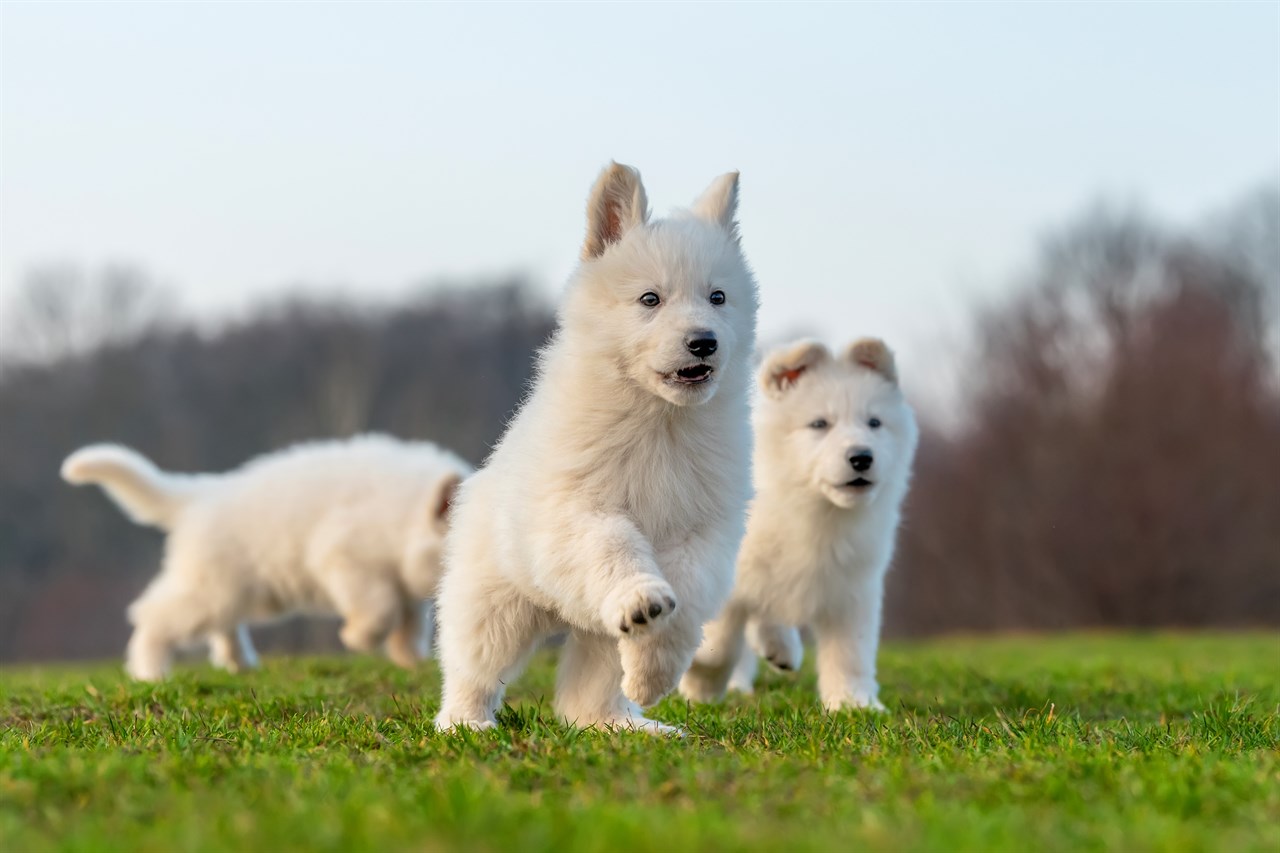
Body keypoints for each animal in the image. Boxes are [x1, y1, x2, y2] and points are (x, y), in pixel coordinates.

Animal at [60, 432, 471, 676]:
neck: (405, 512)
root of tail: (200, 496)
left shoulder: (405, 584)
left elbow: (408, 622)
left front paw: (409, 658)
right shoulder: (345, 559)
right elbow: (380, 609)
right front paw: (359, 638)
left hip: (234, 592)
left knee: (222, 626)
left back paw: (239, 662)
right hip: (211, 593)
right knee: (151, 616)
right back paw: (150, 672)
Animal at [437, 161, 757, 732]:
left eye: (717, 297)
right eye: (650, 299)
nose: (704, 342)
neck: (659, 419)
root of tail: (560, 613)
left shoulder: (703, 531)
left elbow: (688, 594)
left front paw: (652, 671)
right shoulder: (575, 508)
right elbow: (614, 545)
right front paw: (642, 597)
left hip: (592, 637)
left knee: (588, 694)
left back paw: (626, 725)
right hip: (495, 602)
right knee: (474, 666)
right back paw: (465, 723)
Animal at [680, 338, 921, 712]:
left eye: (874, 423)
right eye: (819, 424)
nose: (862, 457)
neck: (812, 510)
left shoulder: (852, 587)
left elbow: (851, 651)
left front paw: (855, 703)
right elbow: (718, 644)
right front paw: (699, 687)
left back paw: (779, 650)